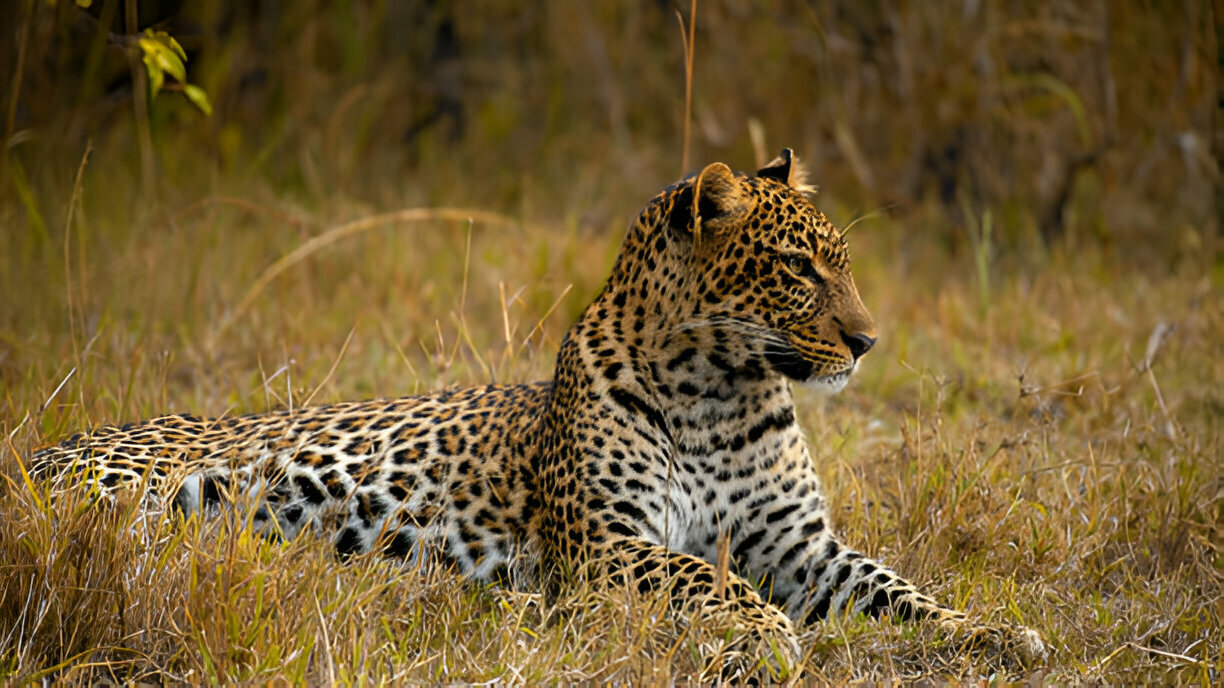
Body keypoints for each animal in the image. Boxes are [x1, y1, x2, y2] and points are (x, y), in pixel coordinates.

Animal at [29, 149, 1044, 678]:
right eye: (800, 269)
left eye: (842, 263)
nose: (869, 341)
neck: (722, 387)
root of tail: (42, 448)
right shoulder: (602, 542)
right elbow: (706, 577)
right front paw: (764, 637)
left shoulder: (801, 546)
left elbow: (899, 588)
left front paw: (994, 634)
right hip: (127, 495)